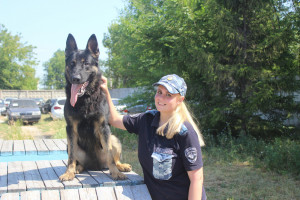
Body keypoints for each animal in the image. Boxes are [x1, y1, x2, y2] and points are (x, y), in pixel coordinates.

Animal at [59, 33, 132, 181]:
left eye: (86, 63)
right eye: (71, 64)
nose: (75, 78)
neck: (85, 98)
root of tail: (95, 165)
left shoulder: (103, 127)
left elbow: (110, 155)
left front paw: (115, 173)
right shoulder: (70, 129)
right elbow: (71, 158)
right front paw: (69, 172)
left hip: (114, 139)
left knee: (114, 159)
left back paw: (121, 166)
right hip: (70, 145)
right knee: (77, 159)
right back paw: (77, 168)